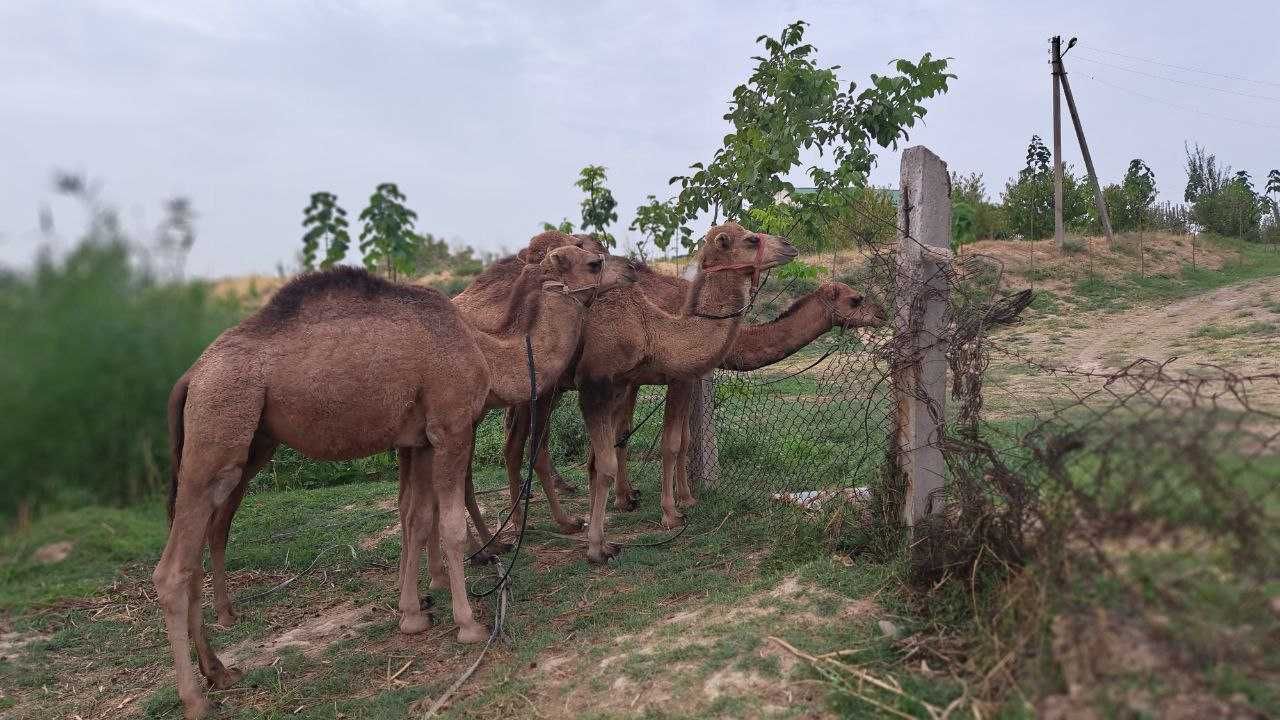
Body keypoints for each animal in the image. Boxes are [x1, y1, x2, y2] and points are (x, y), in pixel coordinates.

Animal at [157, 245, 627, 717]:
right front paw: (468, 625)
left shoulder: (419, 440)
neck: (486, 352)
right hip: (218, 430)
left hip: (241, 440)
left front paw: (413, 616)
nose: (629, 272)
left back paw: (220, 672)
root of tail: (190, 377)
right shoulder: (451, 427)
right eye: (593, 261)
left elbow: (417, 520)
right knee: (173, 569)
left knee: (194, 559)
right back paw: (195, 698)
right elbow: (450, 526)